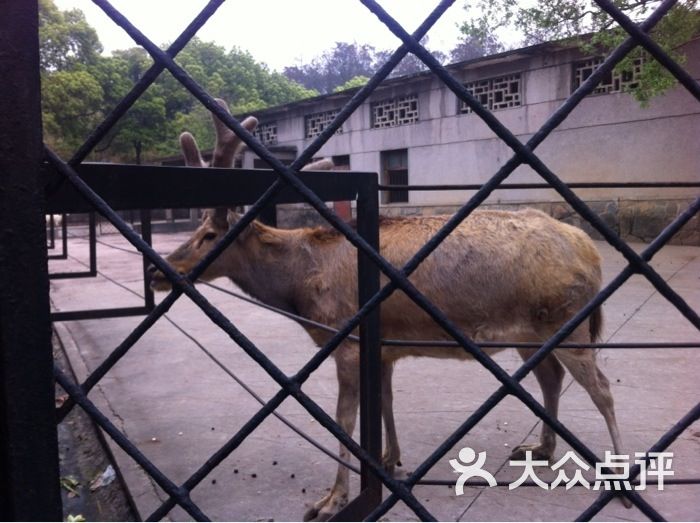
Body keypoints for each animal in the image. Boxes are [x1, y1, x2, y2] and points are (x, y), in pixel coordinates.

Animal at [149, 100, 628, 520]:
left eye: (210, 235)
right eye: (196, 228)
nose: (158, 270)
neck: (302, 286)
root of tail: (591, 253)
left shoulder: (348, 339)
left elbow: (344, 418)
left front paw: (332, 500)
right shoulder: (382, 346)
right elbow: (385, 401)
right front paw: (389, 457)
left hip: (566, 320)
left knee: (602, 388)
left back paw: (620, 480)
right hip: (532, 331)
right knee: (551, 378)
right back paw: (542, 449)